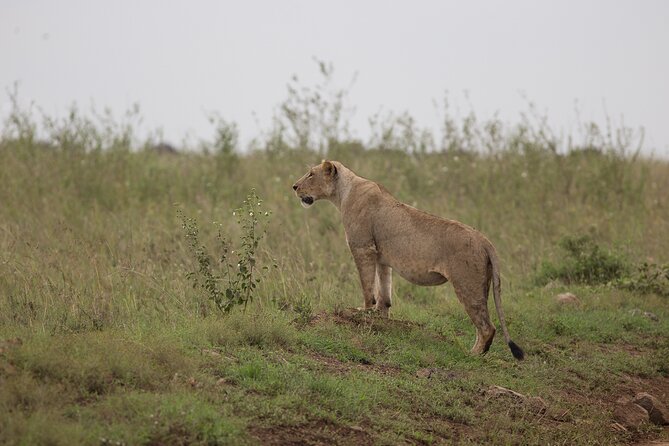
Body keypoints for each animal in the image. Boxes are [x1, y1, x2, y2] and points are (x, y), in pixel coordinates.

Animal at [292, 160, 524, 360]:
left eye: (311, 174)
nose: (294, 186)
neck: (343, 192)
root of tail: (485, 240)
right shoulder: (381, 257)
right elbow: (384, 290)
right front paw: (380, 316)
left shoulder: (363, 248)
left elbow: (367, 286)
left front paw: (363, 311)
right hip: (481, 284)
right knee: (483, 324)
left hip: (467, 284)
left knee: (487, 327)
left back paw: (472, 355)